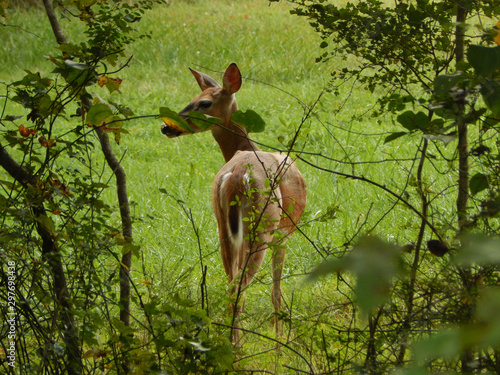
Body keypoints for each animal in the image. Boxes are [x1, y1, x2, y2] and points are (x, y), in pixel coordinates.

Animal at [162, 62, 306, 346]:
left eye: (203, 102)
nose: (166, 127)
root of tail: (237, 176)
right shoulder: (282, 234)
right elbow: (276, 291)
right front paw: (280, 342)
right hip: (261, 226)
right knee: (240, 287)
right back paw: (238, 346)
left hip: (223, 227)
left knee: (230, 284)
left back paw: (231, 343)